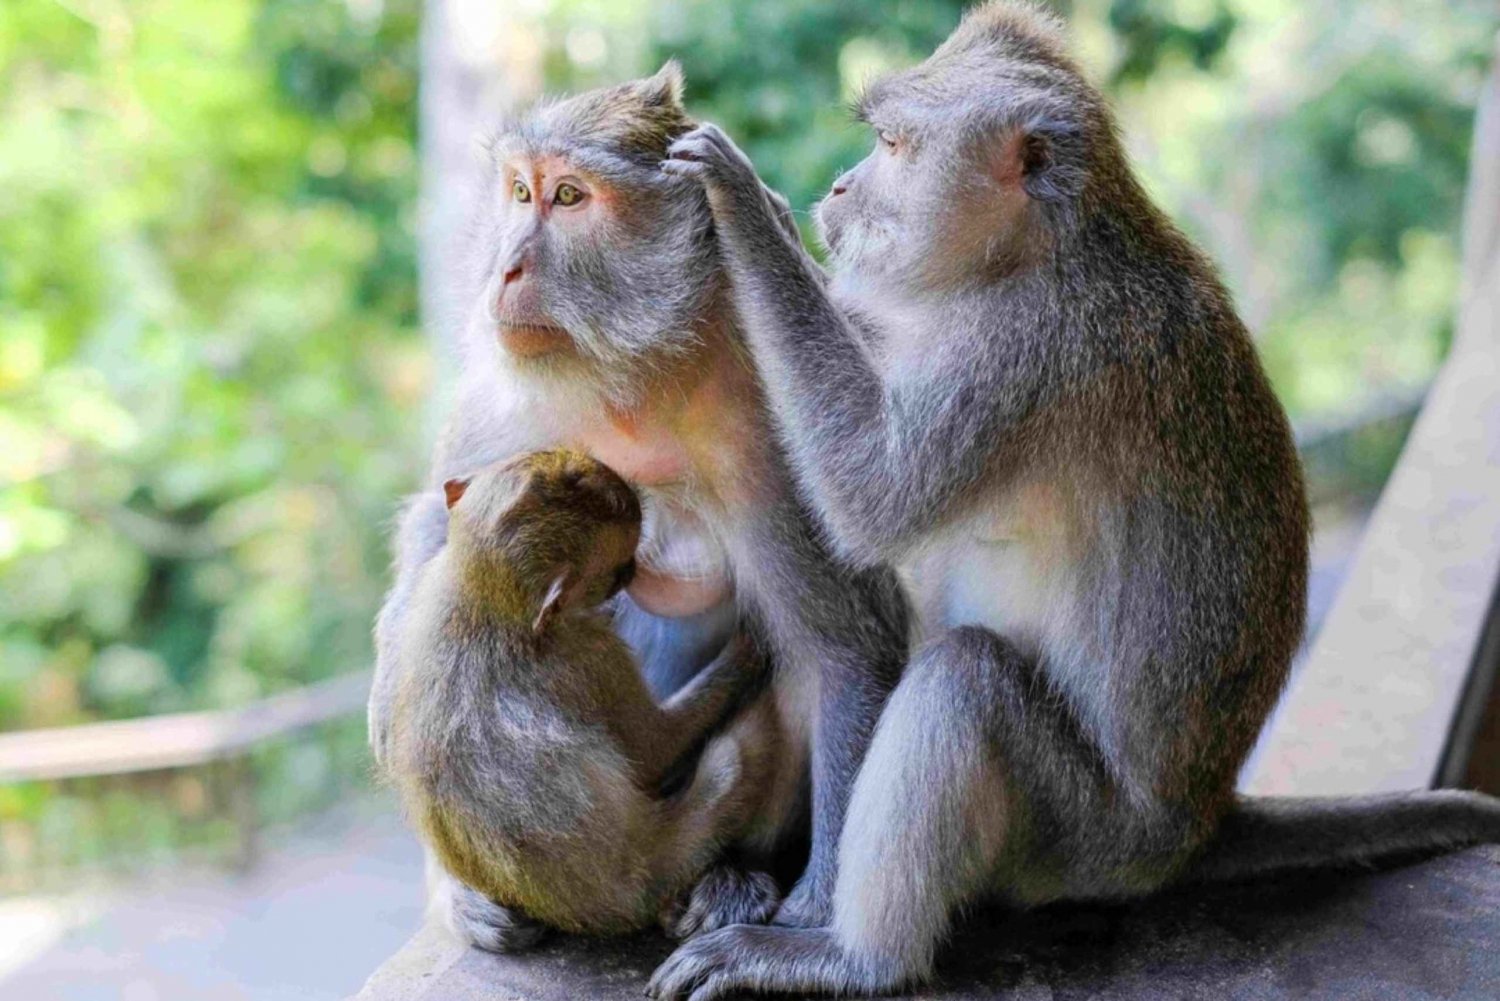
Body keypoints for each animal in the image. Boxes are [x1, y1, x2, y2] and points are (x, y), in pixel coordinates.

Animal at [381, 453, 786, 942]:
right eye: (621, 567)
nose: (634, 496)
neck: (484, 596)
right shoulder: (593, 653)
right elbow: (652, 750)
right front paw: (748, 649)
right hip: (665, 851)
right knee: (729, 763)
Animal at [654, 3, 1500, 996]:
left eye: (893, 144)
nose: (838, 184)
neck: (1031, 252)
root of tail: (1196, 823)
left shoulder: (1025, 350)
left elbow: (875, 495)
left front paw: (743, 207)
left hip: (1083, 838)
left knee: (966, 682)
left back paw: (854, 957)